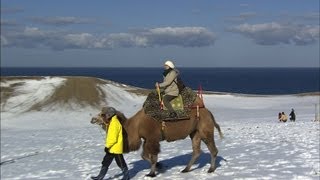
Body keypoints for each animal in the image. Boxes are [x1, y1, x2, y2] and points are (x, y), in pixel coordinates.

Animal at [90, 97, 222, 177]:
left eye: (102, 114)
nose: (92, 119)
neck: (135, 126)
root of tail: (209, 113)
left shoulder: (152, 138)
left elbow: (151, 157)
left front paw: (152, 173)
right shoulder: (147, 140)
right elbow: (145, 156)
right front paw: (160, 166)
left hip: (205, 130)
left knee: (213, 149)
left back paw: (211, 169)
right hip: (194, 132)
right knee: (196, 151)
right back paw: (186, 169)